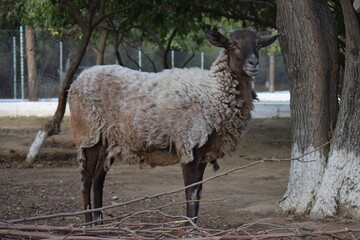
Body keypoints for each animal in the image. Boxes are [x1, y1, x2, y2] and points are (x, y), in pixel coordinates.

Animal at [69, 28, 280, 225]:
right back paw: (88, 224)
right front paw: (189, 229)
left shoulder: (204, 153)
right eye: (233, 44)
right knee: (86, 181)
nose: (254, 63)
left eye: (259, 45)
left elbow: (199, 191)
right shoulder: (189, 145)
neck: (214, 92)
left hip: (109, 141)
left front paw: (194, 227)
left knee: (98, 180)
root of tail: (79, 78)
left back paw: (99, 223)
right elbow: (190, 192)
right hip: (89, 134)